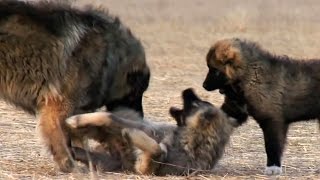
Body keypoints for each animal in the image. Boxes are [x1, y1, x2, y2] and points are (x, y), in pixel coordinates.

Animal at [0, 0, 149, 172]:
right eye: (135, 94)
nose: (141, 118)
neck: (109, 58)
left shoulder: (76, 110)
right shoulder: (59, 106)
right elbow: (62, 140)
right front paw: (68, 164)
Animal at [202, 37, 320, 174]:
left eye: (215, 71)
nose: (203, 86)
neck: (250, 74)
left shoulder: (272, 121)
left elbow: (272, 145)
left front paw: (273, 167)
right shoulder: (235, 109)